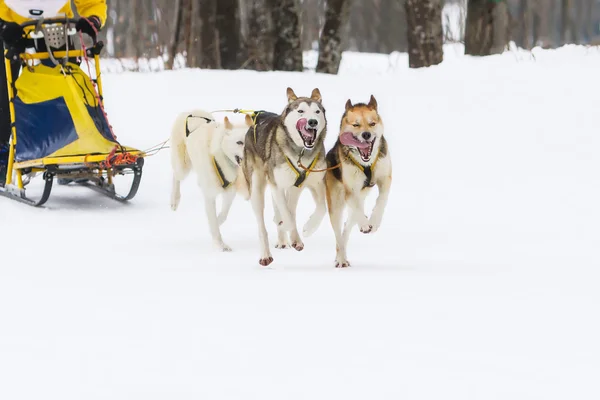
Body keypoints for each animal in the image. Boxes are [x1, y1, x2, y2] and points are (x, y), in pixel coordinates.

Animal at [170, 109, 252, 252]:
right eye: (239, 142)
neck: (220, 159)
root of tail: (190, 111)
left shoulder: (230, 192)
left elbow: (222, 215)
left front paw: (217, 222)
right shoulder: (210, 197)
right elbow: (213, 221)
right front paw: (220, 244)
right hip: (183, 167)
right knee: (176, 175)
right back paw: (174, 199)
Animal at [238, 86, 328, 266]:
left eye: (317, 111)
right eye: (301, 111)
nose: (312, 122)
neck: (301, 153)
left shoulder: (312, 182)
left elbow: (321, 208)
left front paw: (308, 228)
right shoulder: (277, 185)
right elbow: (288, 215)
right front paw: (287, 227)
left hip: (291, 188)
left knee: (287, 208)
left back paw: (284, 238)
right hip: (257, 189)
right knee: (263, 224)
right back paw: (266, 254)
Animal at [326, 95, 392, 268]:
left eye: (372, 123)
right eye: (356, 125)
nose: (366, 135)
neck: (366, 163)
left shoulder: (385, 179)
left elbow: (381, 200)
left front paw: (374, 222)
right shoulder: (350, 190)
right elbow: (357, 207)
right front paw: (365, 224)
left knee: (347, 226)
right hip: (336, 205)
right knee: (339, 234)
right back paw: (341, 259)